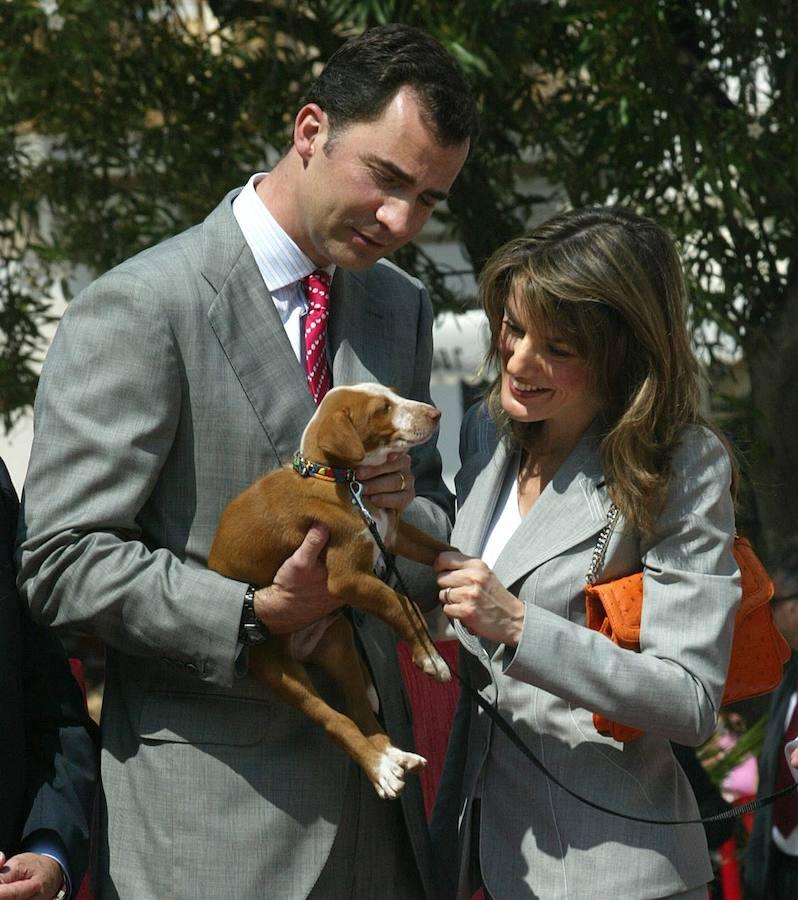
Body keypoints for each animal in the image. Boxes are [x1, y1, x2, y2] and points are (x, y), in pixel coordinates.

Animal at [209, 384, 454, 800]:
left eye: (393, 395)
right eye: (383, 409)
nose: (436, 414)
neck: (336, 479)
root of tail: (300, 649)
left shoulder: (392, 533)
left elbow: (439, 550)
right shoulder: (345, 579)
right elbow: (399, 602)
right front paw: (430, 657)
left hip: (337, 644)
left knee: (360, 709)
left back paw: (392, 757)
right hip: (281, 673)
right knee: (336, 721)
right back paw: (380, 769)